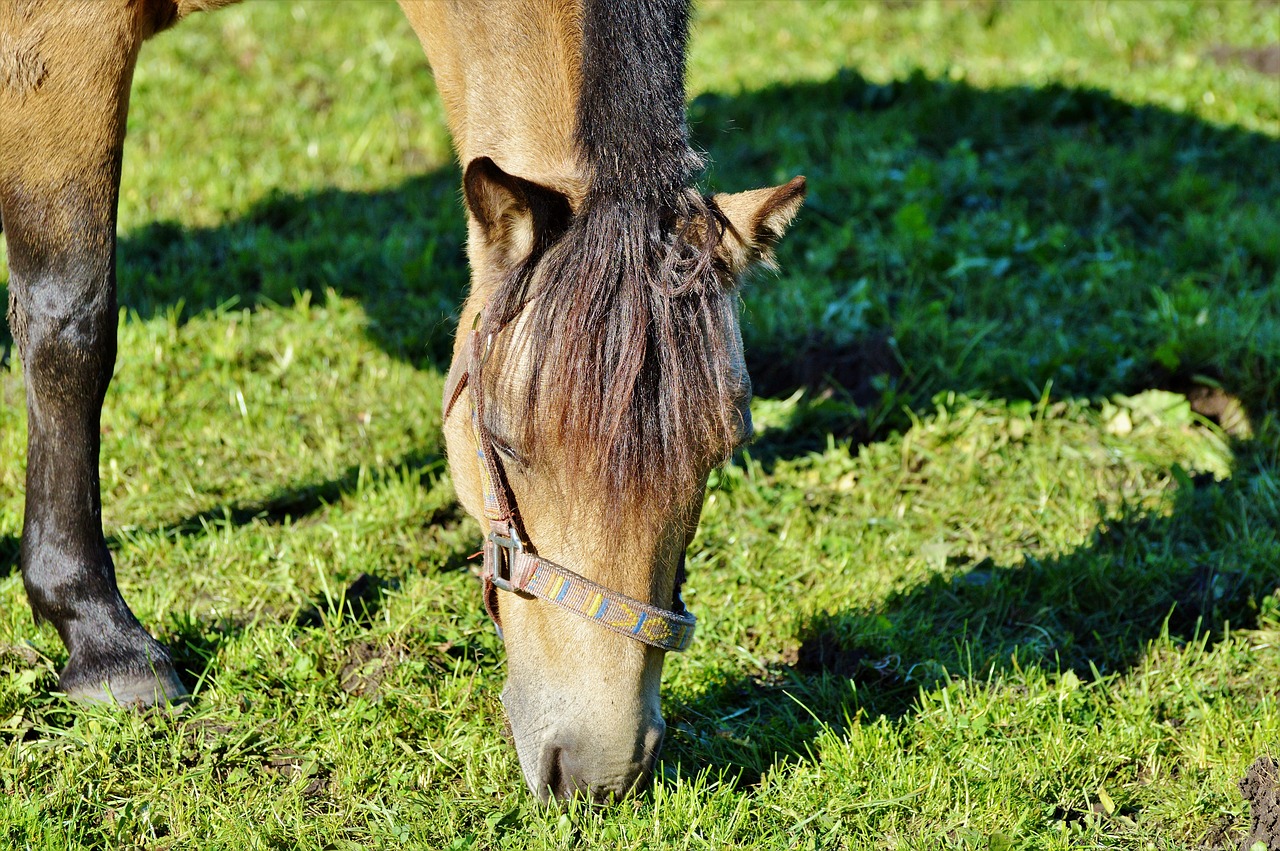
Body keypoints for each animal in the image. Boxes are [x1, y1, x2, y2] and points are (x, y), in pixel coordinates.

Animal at [0, 0, 798, 803]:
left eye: (723, 450)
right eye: (504, 442)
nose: (600, 772)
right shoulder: (60, 49)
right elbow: (72, 327)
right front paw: (101, 638)